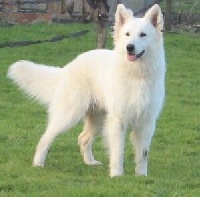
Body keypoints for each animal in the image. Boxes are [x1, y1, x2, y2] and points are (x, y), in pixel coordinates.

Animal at [7, 3, 166, 177]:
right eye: (127, 34)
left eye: (143, 35)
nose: (129, 47)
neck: (137, 75)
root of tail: (68, 67)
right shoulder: (118, 121)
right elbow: (118, 151)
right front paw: (116, 175)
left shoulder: (147, 122)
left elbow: (143, 153)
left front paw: (141, 176)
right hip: (69, 115)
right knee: (46, 137)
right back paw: (38, 163)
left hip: (98, 119)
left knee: (82, 138)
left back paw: (90, 162)